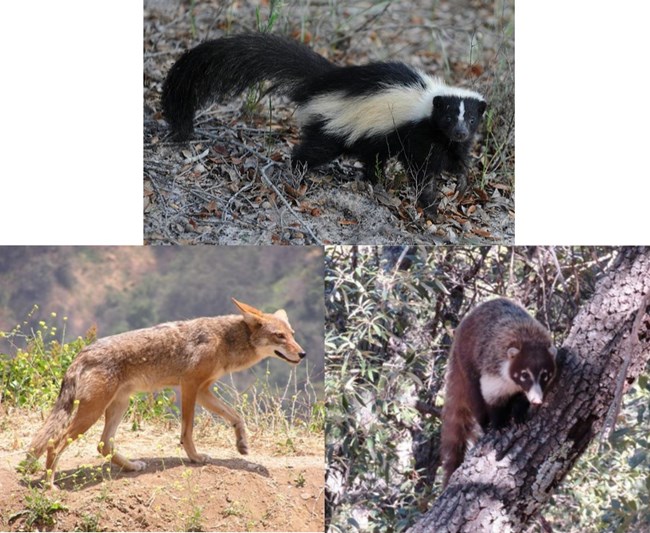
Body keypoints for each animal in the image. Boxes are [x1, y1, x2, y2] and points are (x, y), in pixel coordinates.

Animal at [162, 32, 486, 214]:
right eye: (447, 117)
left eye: (471, 118)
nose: (459, 131)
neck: (427, 101)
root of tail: (323, 82)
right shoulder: (418, 132)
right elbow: (421, 171)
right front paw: (429, 205)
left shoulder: (449, 141)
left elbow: (457, 159)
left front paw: (461, 181)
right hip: (333, 125)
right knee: (314, 149)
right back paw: (297, 172)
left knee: (372, 158)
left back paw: (373, 181)